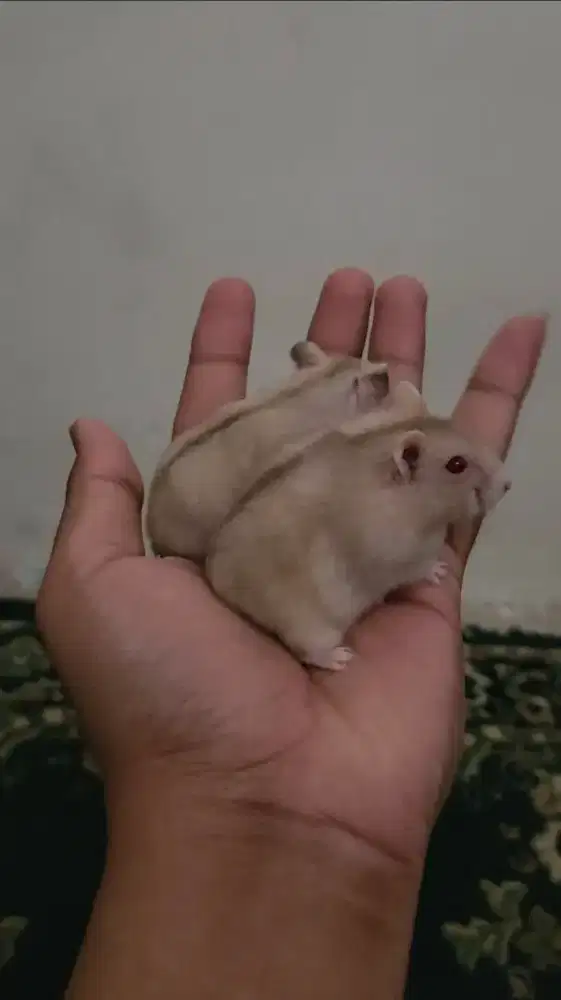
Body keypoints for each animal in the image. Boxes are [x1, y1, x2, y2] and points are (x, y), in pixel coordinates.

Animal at [206, 414, 511, 671]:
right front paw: (438, 570)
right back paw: (339, 658)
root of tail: (218, 580)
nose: (508, 484)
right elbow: (418, 567)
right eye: (457, 465)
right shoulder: (396, 555)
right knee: (306, 649)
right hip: (309, 624)